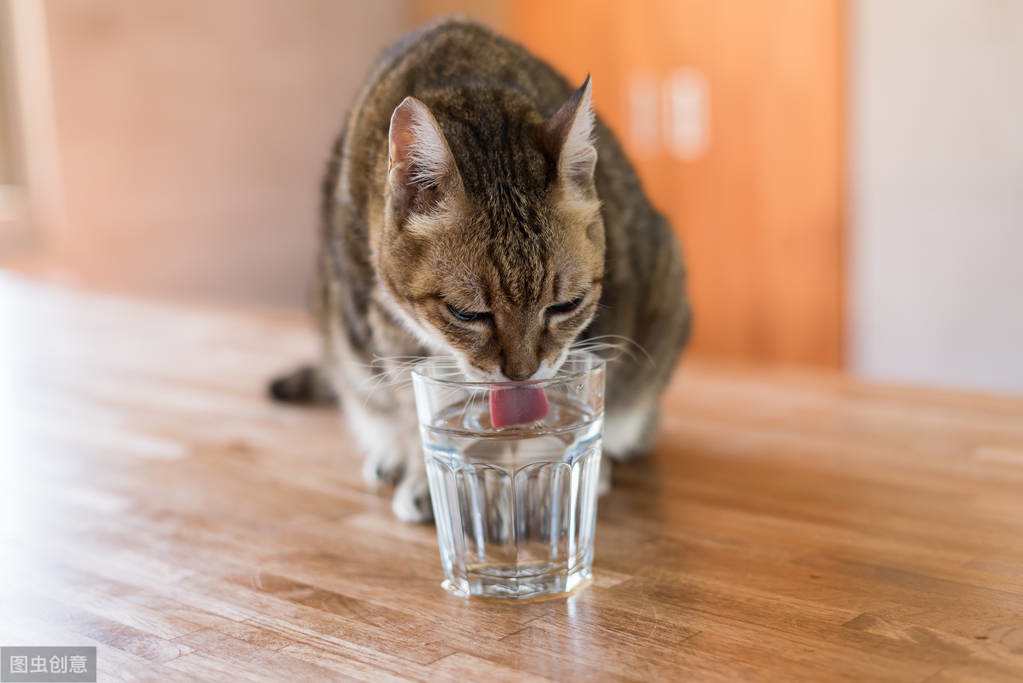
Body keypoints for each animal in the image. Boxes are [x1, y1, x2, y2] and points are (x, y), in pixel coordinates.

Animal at [270, 18, 695, 523]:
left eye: (566, 305)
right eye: (467, 313)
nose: (522, 374)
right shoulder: (385, 331)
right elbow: (415, 411)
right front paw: (431, 479)